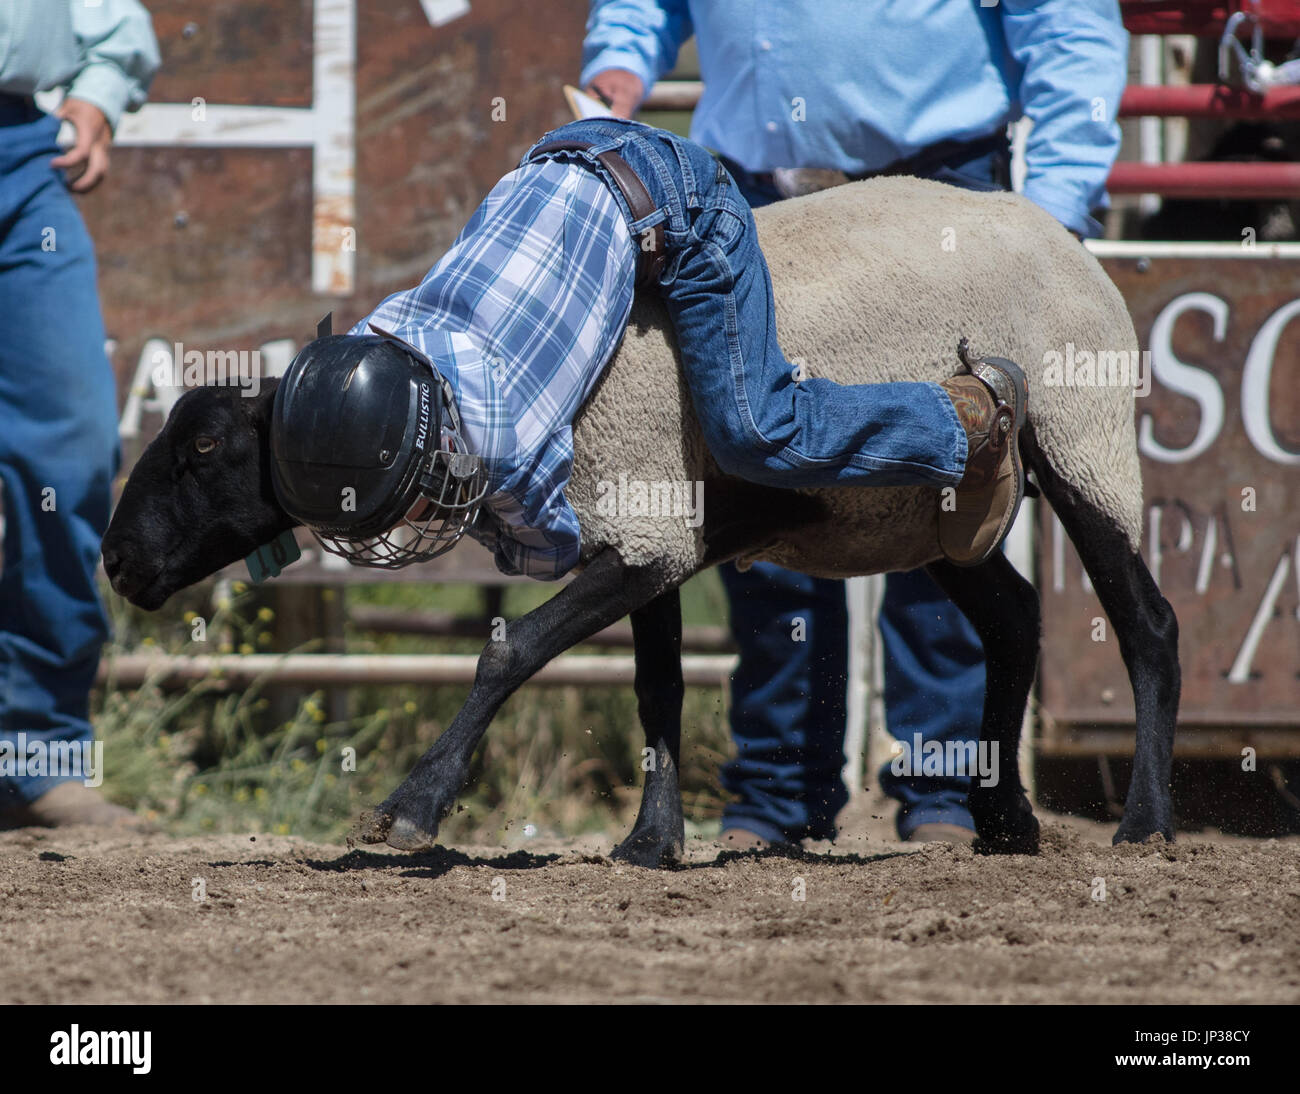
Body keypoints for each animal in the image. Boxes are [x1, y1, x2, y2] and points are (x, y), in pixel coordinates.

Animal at [102, 175, 1179, 866]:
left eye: (204, 446)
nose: (114, 558)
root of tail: (1066, 238)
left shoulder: (642, 523)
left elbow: (510, 650)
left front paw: (413, 806)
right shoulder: (648, 533)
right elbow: (656, 688)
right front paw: (651, 843)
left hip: (1083, 436)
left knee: (1146, 624)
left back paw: (1144, 825)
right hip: (930, 510)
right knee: (1014, 619)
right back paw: (1005, 820)